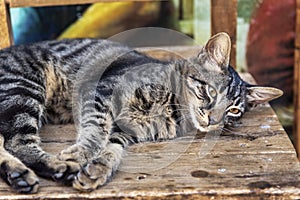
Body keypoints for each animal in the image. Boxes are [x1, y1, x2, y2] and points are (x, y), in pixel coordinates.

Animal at [0, 32, 282, 194]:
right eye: (210, 91)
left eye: (233, 110)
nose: (213, 120)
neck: (173, 111)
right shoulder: (100, 92)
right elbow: (96, 132)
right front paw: (80, 154)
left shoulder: (126, 131)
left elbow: (112, 149)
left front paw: (98, 169)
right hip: (22, 90)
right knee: (17, 143)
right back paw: (53, 167)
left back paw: (19, 175)